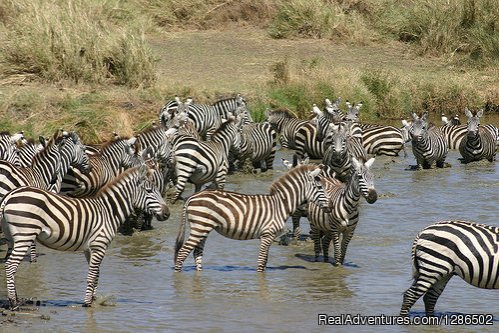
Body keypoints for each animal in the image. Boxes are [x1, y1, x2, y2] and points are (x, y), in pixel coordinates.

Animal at [0, 164, 170, 308]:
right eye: (149, 191)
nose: (167, 214)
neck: (108, 212)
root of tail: (9, 196)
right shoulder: (99, 245)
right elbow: (92, 275)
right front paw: (87, 304)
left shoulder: (90, 249)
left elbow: (96, 275)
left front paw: (94, 299)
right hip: (25, 235)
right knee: (11, 266)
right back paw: (13, 302)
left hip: (11, 238)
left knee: (8, 264)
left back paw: (17, 299)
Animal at [174, 164, 334, 272]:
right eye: (320, 187)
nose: (332, 206)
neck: (280, 205)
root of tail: (192, 197)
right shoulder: (267, 234)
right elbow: (261, 261)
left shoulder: (269, 236)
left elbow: (265, 261)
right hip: (200, 227)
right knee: (182, 253)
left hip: (204, 228)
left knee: (197, 253)